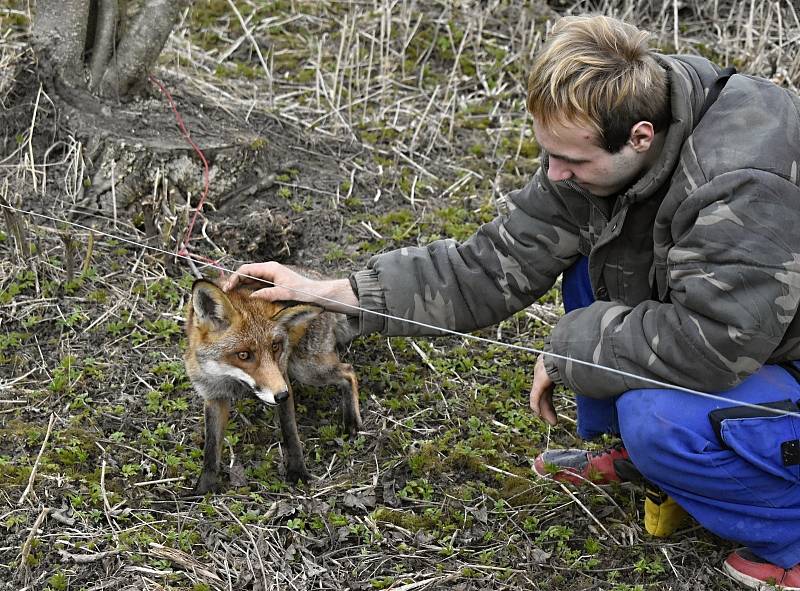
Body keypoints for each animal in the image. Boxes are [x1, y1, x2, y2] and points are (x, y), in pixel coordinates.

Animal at [183, 280, 360, 492]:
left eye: (275, 347)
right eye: (243, 355)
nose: (282, 395)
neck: (231, 380)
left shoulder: (282, 375)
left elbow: (290, 432)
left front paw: (297, 470)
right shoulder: (213, 395)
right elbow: (211, 449)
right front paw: (204, 489)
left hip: (306, 369)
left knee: (349, 372)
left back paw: (352, 421)